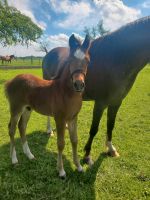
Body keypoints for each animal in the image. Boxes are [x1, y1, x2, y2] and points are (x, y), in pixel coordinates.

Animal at [4, 34, 90, 178]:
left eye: (88, 60)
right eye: (70, 59)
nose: (79, 84)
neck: (65, 92)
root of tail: (11, 81)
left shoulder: (73, 118)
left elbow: (74, 140)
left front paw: (78, 167)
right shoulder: (60, 119)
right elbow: (61, 144)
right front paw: (61, 171)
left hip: (27, 109)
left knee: (22, 127)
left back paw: (29, 155)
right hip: (16, 109)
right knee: (12, 129)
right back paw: (14, 159)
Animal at [42, 16, 150, 166]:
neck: (116, 59)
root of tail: (49, 53)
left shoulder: (116, 102)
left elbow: (111, 125)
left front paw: (111, 149)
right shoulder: (100, 103)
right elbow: (94, 128)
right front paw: (87, 155)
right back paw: (49, 131)